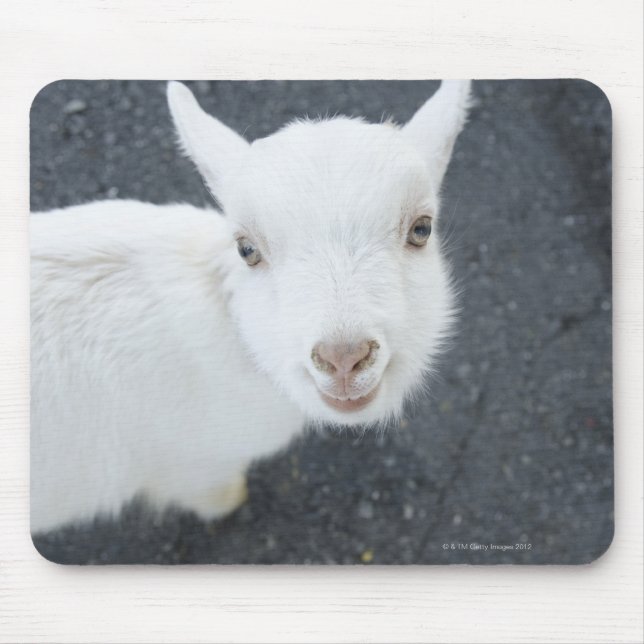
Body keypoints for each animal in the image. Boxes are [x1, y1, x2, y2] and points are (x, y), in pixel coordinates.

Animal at [30, 80, 471, 533]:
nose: (344, 358)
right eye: (246, 249)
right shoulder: (195, 466)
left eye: (421, 229)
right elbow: (217, 494)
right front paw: (232, 501)